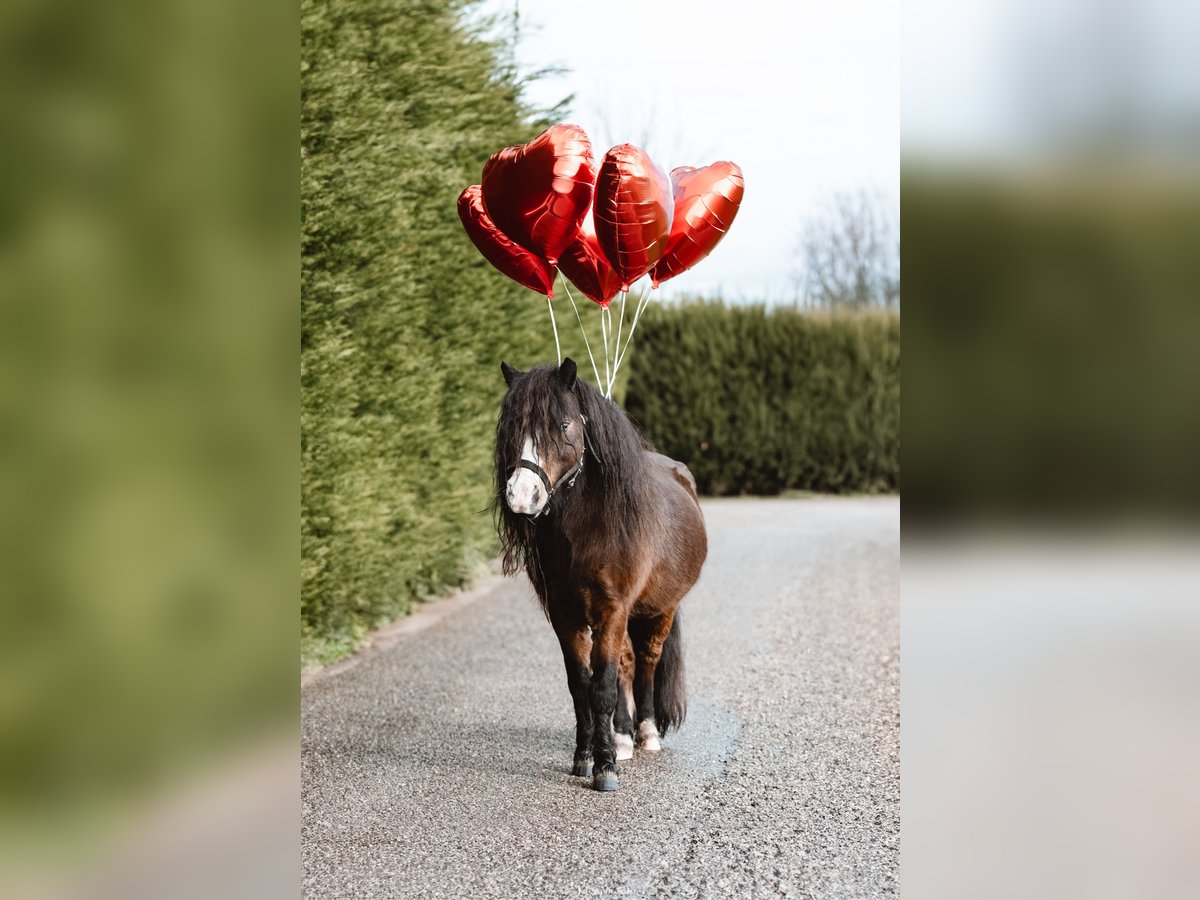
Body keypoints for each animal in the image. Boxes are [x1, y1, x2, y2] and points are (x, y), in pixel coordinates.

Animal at [494, 355, 705, 792]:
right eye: (511, 426)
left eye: (562, 424)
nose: (521, 497)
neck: (590, 529)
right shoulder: (565, 615)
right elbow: (582, 686)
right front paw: (585, 757)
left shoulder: (613, 610)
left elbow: (603, 687)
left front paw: (606, 768)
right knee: (626, 663)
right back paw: (623, 736)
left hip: (660, 610)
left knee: (646, 661)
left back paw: (645, 733)